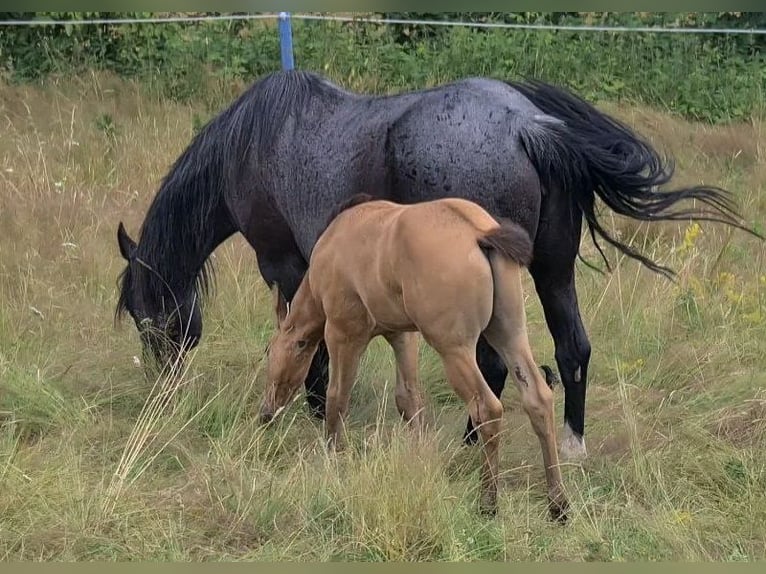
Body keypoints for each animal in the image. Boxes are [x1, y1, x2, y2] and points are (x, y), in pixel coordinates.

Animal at [115, 69, 757, 462]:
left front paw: (315, 407)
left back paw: (472, 440)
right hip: (553, 272)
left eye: (144, 314)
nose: (161, 388)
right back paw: (569, 444)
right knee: (572, 349)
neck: (255, 142)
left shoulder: (286, 267)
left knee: (493, 366)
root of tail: (530, 127)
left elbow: (306, 342)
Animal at [258, 194, 568, 519]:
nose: (265, 413)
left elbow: (337, 397)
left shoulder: (344, 333)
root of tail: (481, 234)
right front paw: (421, 456)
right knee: (538, 399)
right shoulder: (402, 336)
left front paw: (333, 456)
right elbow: (408, 399)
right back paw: (558, 504)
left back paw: (488, 501)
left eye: (269, 352)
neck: (333, 243)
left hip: (454, 349)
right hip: (510, 336)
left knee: (488, 409)